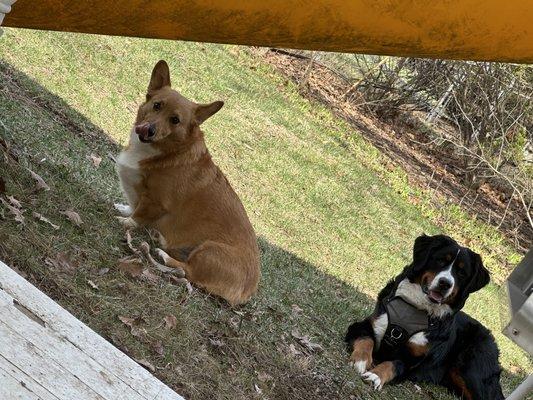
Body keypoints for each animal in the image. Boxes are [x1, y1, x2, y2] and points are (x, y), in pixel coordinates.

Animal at [115, 59, 260, 304]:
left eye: (175, 120)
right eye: (156, 105)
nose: (149, 130)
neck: (167, 152)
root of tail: (247, 291)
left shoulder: (156, 201)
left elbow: (139, 214)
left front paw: (126, 222)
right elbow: (133, 207)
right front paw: (123, 209)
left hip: (209, 249)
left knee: (186, 271)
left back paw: (163, 254)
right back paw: (160, 239)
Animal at [344, 233, 502, 398]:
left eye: (462, 272)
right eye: (440, 260)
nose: (445, 283)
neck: (417, 308)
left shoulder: (411, 361)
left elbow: (392, 364)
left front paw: (376, 376)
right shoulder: (368, 324)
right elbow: (366, 340)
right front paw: (360, 360)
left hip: (470, 369)